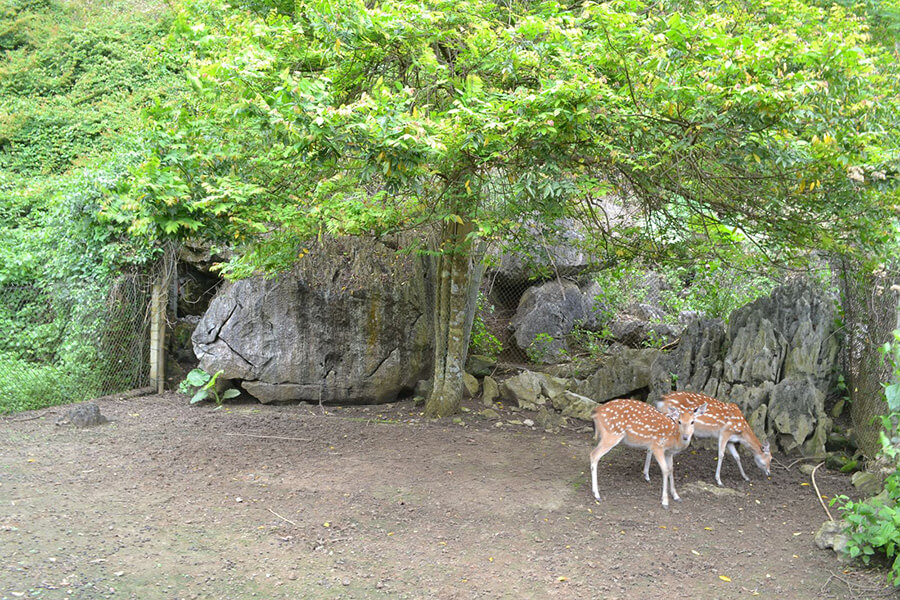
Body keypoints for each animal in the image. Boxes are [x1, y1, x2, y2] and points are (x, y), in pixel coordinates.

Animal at [640, 394, 772, 488]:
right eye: (770, 458)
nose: (769, 472)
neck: (741, 431)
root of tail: (662, 400)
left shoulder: (730, 440)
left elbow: (737, 456)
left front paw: (746, 477)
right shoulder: (724, 432)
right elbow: (721, 454)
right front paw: (719, 480)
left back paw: (647, 474)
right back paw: (647, 475)